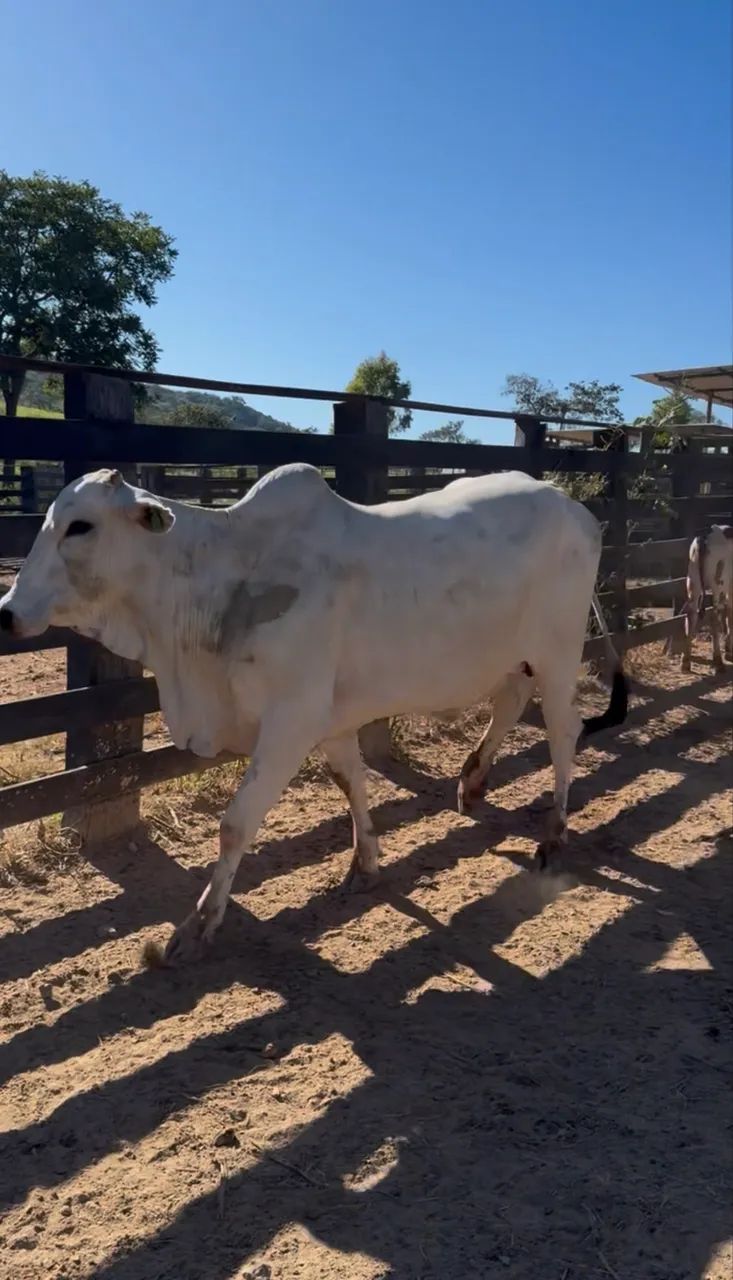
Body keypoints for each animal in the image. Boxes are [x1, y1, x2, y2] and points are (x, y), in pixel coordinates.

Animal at [0, 464, 628, 965]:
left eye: (80, 526)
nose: (6, 611)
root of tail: (573, 506)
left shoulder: (290, 721)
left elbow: (235, 825)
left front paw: (198, 925)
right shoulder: (329, 719)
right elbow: (351, 782)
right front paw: (366, 864)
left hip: (557, 652)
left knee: (564, 732)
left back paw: (553, 833)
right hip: (513, 658)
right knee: (510, 703)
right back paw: (472, 783)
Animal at [680, 525, 733, 674]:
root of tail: (703, 537)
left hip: (693, 582)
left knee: (691, 614)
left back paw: (686, 662)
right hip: (718, 583)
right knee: (714, 616)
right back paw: (718, 660)